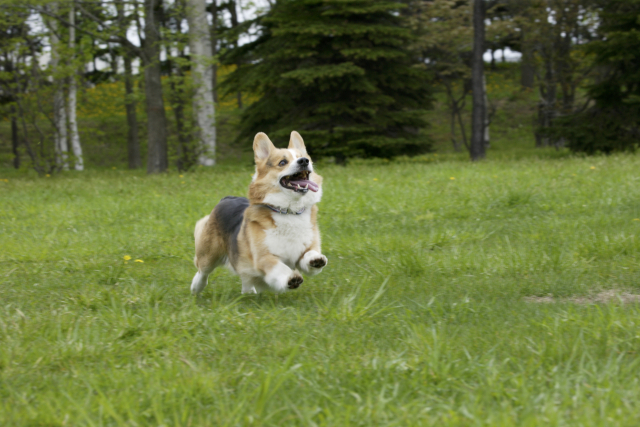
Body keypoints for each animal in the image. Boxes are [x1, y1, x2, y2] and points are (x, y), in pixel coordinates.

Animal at [191, 131, 328, 294]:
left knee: (246, 278)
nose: (304, 161)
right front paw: (291, 279)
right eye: (283, 162)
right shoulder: (264, 258)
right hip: (209, 253)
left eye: (303, 157)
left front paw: (316, 260)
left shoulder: (305, 251)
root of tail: (227, 198)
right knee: (202, 270)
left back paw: (249, 293)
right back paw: (196, 287)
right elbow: (279, 267)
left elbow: (310, 255)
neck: (289, 211)